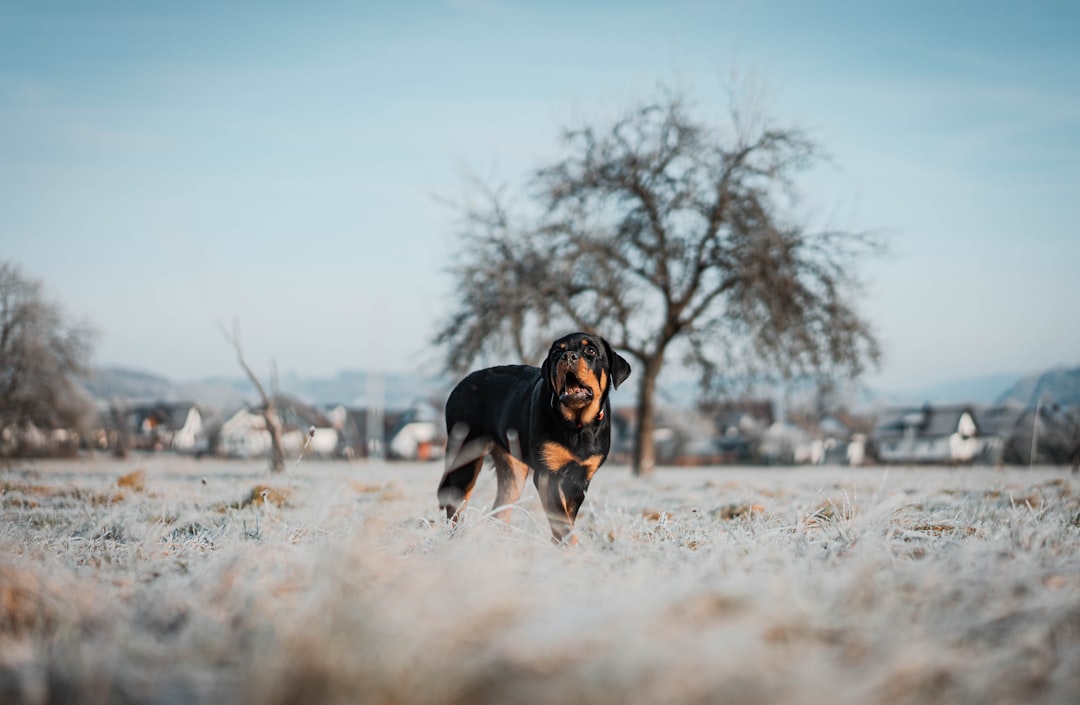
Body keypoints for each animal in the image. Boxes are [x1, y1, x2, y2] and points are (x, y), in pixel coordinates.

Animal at [434, 330, 630, 544]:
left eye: (591, 351)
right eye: (557, 352)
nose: (568, 356)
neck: (577, 425)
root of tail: (459, 386)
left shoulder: (580, 479)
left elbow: (566, 518)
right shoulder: (547, 475)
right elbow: (561, 520)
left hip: (514, 472)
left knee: (500, 510)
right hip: (465, 459)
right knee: (454, 509)